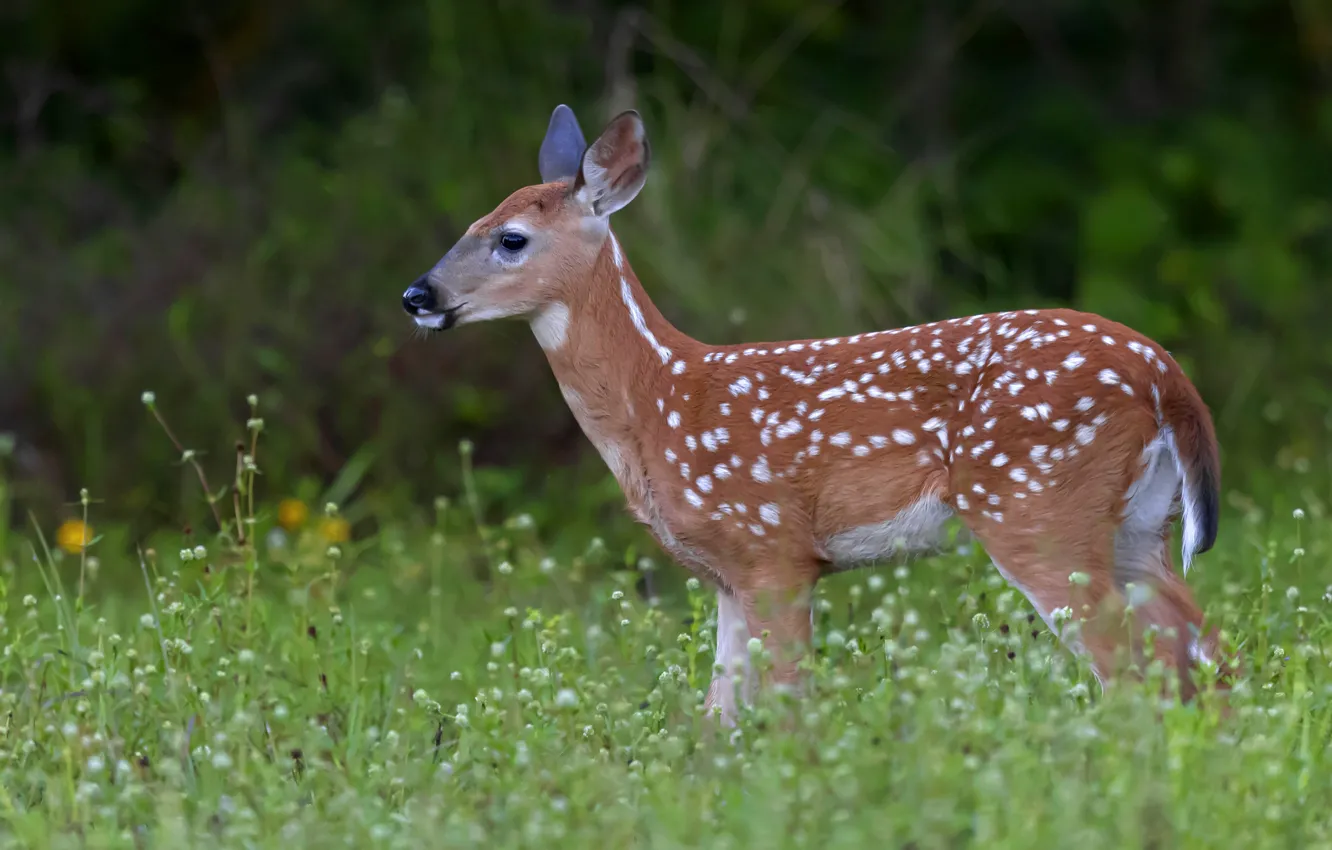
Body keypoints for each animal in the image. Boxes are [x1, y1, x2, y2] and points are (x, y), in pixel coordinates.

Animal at [402, 104, 1232, 725]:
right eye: (472, 223)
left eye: (512, 239)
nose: (418, 295)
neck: (658, 402)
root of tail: (1165, 374)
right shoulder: (727, 575)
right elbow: (716, 722)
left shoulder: (772, 548)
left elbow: (789, 707)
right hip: (1138, 526)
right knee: (1207, 656)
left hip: (1037, 507)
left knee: (1134, 669)